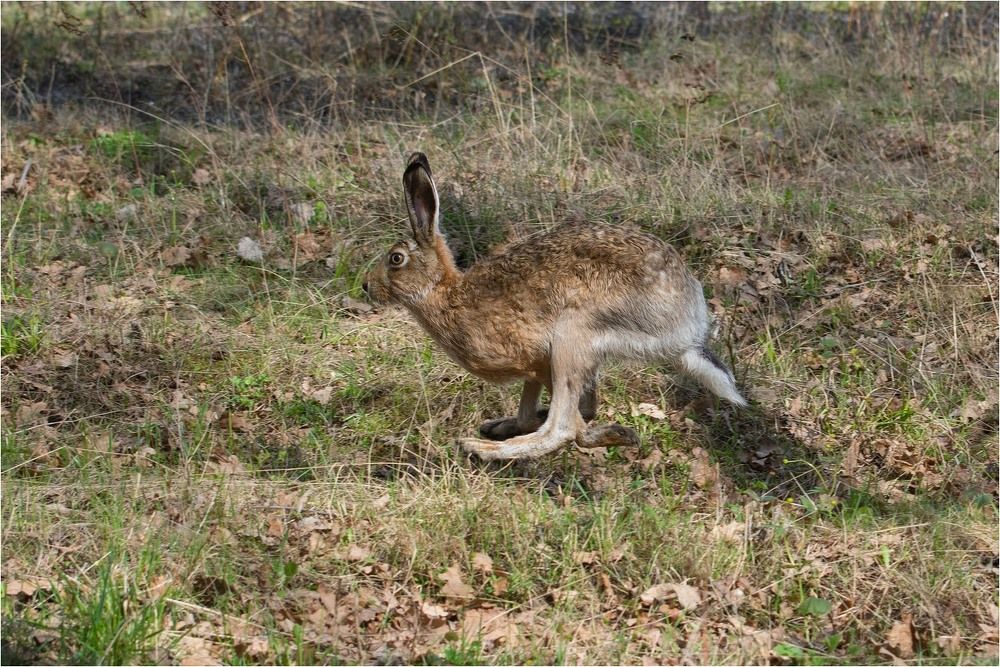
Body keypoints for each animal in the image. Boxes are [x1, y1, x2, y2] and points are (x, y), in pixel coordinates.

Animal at [364, 152, 747, 460]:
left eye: (395, 259)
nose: (367, 286)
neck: (443, 292)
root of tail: (689, 329)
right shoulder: (534, 368)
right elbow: (532, 408)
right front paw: (512, 421)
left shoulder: (540, 357)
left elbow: (571, 422)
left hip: (574, 336)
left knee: (558, 429)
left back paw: (483, 449)